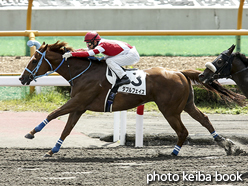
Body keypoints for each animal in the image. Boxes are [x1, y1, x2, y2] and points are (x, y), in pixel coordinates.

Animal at [18, 41, 244, 157]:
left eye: (35, 60)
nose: (22, 78)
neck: (83, 72)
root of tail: (179, 72)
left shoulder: (78, 101)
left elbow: (53, 113)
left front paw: (31, 133)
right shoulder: (79, 106)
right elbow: (67, 128)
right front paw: (53, 149)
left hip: (170, 109)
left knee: (183, 131)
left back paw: (173, 152)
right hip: (187, 105)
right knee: (204, 119)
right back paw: (226, 144)